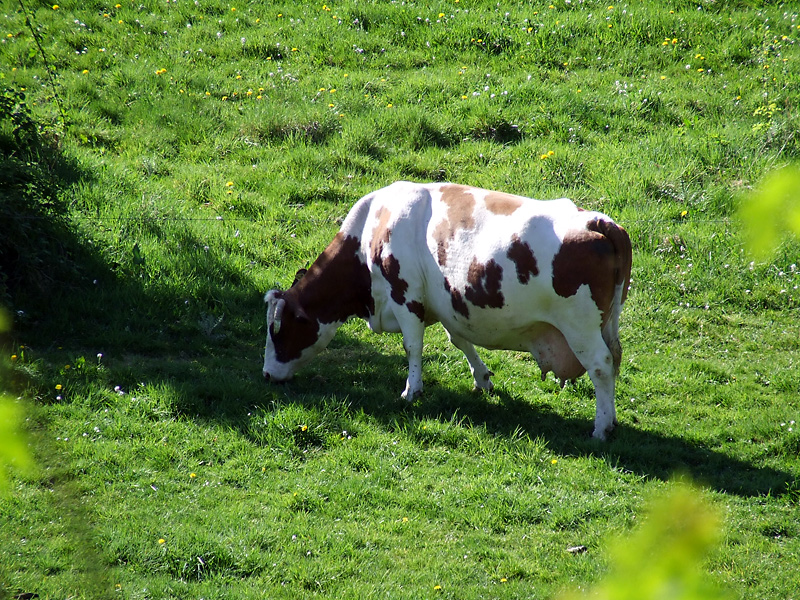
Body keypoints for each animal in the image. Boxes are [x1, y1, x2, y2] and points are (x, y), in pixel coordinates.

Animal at [266, 180, 636, 438]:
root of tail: (597, 221)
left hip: (580, 327)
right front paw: (482, 378)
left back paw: (601, 427)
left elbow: (413, 346)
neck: (374, 228)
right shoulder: (446, 303)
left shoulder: (406, 295)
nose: (267, 375)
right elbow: (458, 339)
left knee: (602, 365)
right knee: (613, 361)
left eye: (278, 330)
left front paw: (411, 390)